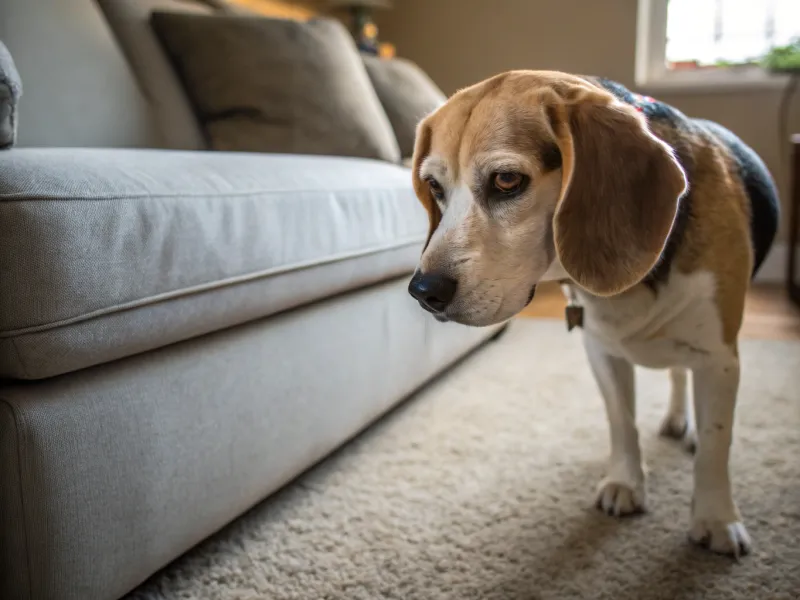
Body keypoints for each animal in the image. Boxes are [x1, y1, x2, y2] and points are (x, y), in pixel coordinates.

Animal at [410, 70, 780, 556]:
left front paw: (717, 518)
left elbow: (718, 441)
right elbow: (622, 421)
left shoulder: (719, 358)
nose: (423, 291)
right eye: (434, 187)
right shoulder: (601, 349)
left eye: (507, 180)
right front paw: (626, 483)